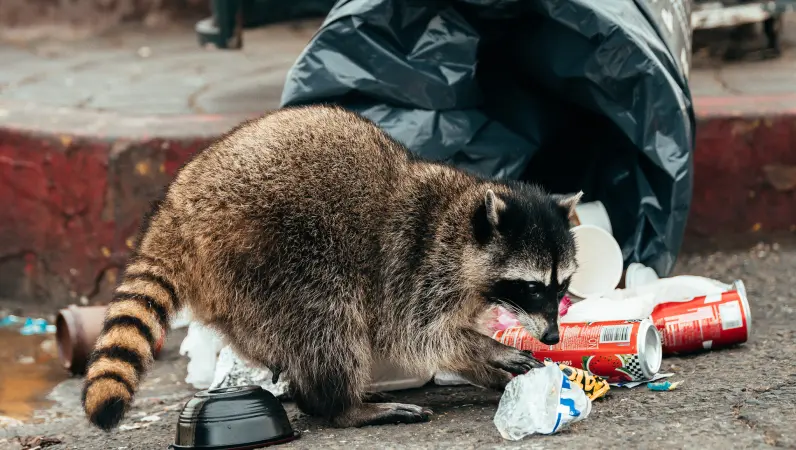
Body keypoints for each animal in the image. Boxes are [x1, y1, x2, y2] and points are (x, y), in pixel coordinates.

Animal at [82, 104, 581, 431]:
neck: (460, 219)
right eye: (532, 287)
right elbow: (419, 335)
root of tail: (178, 209)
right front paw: (487, 349)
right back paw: (341, 405)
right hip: (272, 252)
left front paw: (488, 365)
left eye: (562, 287)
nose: (553, 336)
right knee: (326, 321)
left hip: (236, 285)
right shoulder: (414, 266)